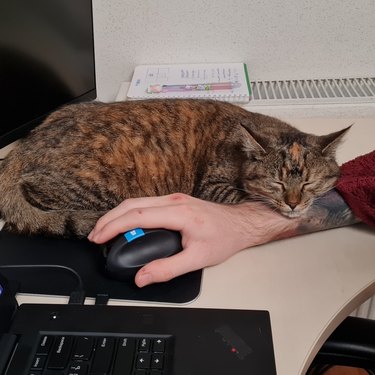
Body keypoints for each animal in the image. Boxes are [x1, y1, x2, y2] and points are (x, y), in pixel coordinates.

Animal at [0, 100, 350, 238]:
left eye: (308, 183)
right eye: (276, 184)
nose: (293, 204)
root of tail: (21, 149)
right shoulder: (213, 186)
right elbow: (249, 198)